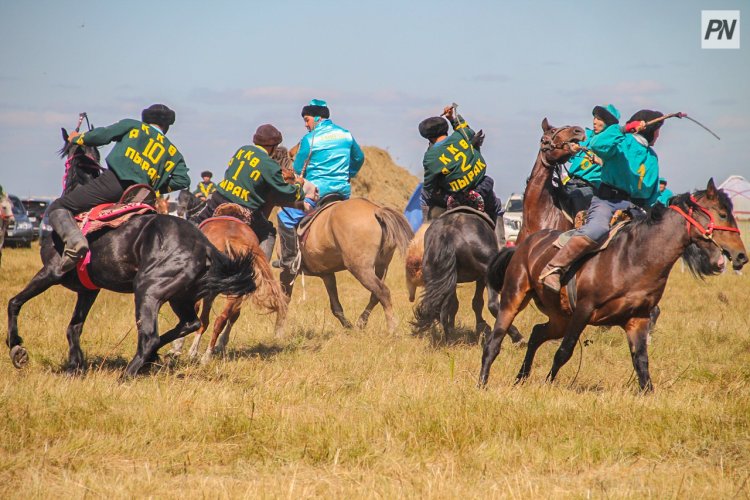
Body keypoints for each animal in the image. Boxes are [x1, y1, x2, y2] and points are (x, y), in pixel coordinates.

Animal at [5, 129, 258, 376]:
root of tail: (204, 246)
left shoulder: (50, 272)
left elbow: (15, 302)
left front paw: (16, 347)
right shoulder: (88, 290)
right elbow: (74, 327)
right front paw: (74, 365)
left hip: (147, 290)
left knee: (150, 336)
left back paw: (129, 372)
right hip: (180, 297)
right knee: (189, 324)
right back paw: (154, 356)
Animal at [412, 208, 524, 344]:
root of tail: (448, 232)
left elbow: (453, 305)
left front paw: (452, 329)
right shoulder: (481, 278)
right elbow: (477, 302)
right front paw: (482, 326)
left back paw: (449, 336)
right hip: (486, 272)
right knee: (493, 305)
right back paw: (516, 337)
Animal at [478, 180, 748, 390]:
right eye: (722, 214)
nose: (741, 255)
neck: (632, 258)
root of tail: (524, 245)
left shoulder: (638, 319)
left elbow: (641, 362)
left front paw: (648, 394)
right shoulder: (583, 311)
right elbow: (564, 352)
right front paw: (548, 384)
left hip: (559, 317)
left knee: (536, 334)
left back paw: (520, 378)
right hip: (515, 297)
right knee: (495, 341)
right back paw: (483, 382)